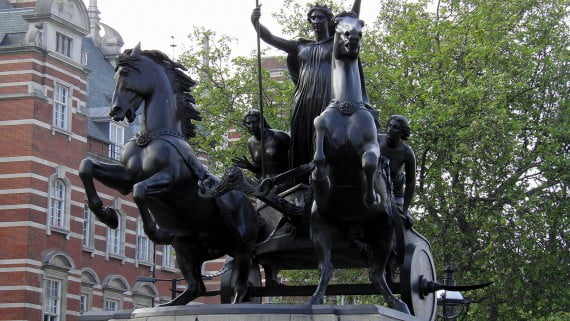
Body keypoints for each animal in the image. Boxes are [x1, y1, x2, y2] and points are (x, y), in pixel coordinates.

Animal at [77, 43, 258, 304]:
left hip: (242, 245)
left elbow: (139, 191)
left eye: (125, 74)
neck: (154, 136)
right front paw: (107, 215)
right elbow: (87, 166)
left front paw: (156, 231)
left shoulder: (170, 180)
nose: (116, 110)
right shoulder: (126, 177)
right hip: (189, 249)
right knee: (196, 288)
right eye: (114, 76)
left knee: (242, 286)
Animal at [310, 9, 408, 312]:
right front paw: (318, 177)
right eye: (337, 25)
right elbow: (318, 143)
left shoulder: (371, 146)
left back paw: (397, 303)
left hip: (384, 231)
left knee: (376, 273)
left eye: (360, 26)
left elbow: (369, 163)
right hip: (320, 227)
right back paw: (315, 298)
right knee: (327, 267)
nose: (351, 37)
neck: (347, 106)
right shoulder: (322, 133)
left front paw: (369, 196)